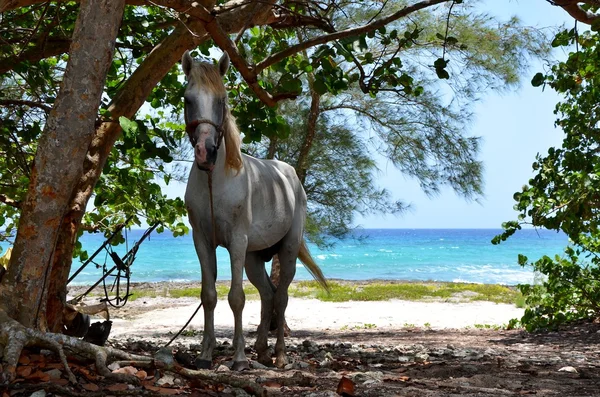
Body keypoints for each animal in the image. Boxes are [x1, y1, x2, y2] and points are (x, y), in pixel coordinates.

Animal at [183, 51, 328, 370]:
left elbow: (236, 297)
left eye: (222, 100)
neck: (215, 181)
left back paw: (280, 355)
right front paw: (205, 355)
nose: (206, 151)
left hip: (287, 250)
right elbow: (208, 295)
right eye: (188, 99)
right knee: (268, 295)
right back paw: (261, 350)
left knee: (281, 297)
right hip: (253, 259)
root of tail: (291, 176)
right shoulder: (202, 241)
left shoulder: (237, 241)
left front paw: (238, 358)